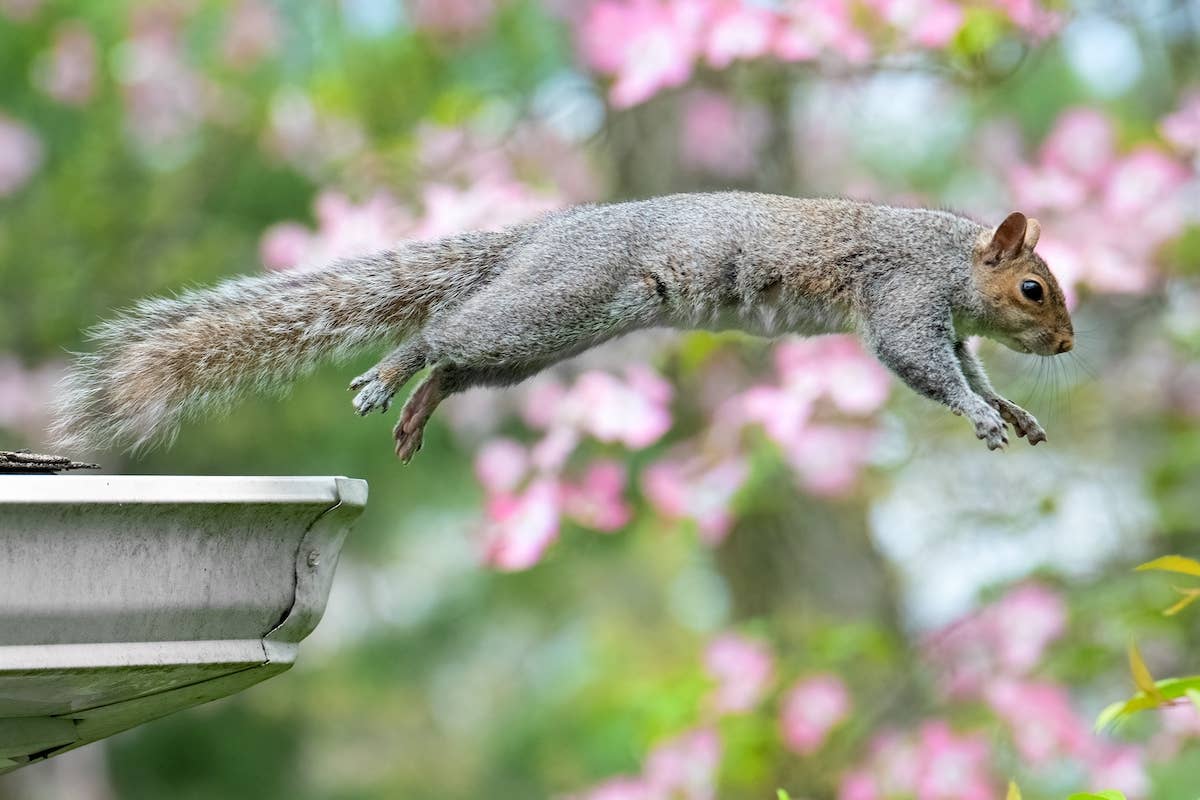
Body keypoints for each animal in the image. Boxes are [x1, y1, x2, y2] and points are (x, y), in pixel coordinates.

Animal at [50, 192, 1074, 461]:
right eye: (1034, 289)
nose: (1068, 346)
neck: (949, 259)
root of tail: (536, 234)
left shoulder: (948, 324)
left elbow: (972, 371)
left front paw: (1015, 413)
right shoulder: (902, 296)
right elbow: (924, 367)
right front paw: (982, 418)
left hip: (543, 338)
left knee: (462, 366)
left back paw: (417, 409)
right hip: (551, 303)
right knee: (443, 336)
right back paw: (391, 373)